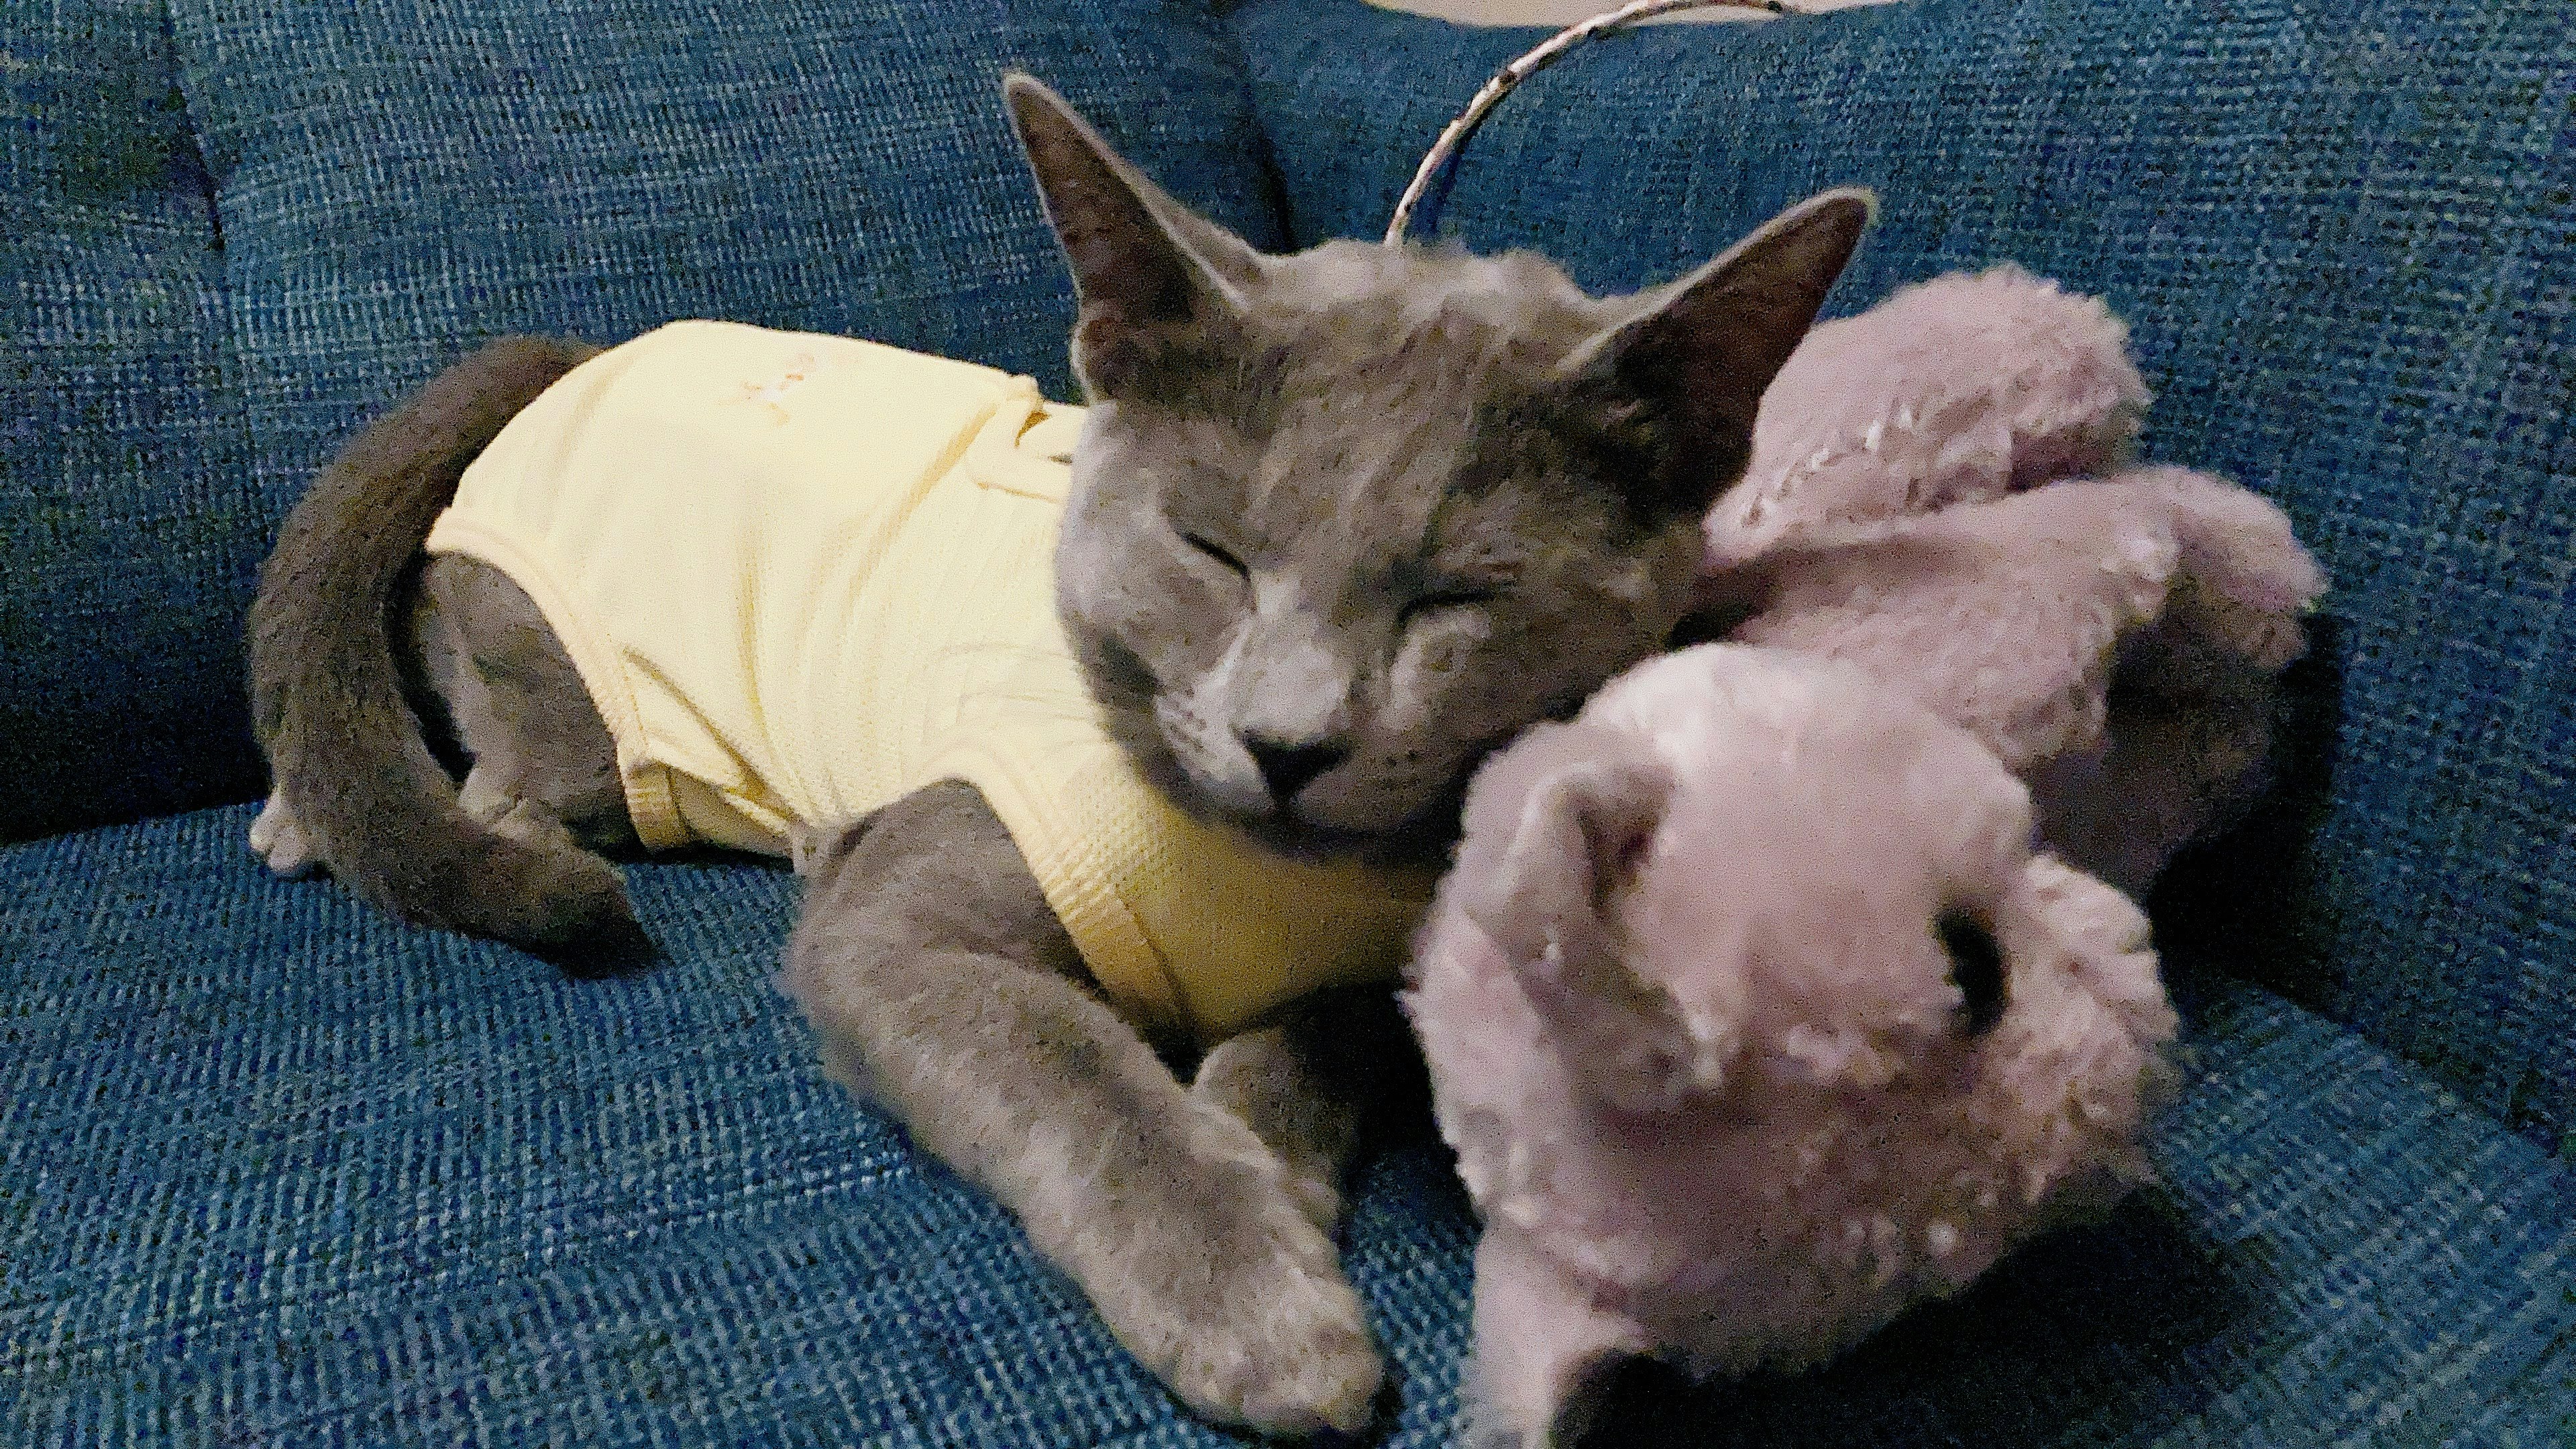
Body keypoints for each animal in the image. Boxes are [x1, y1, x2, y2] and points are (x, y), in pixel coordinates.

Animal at [246, 78, 1875, 1433]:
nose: (1290, 740)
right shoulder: (902, 916)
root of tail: (579, 351)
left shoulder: (1371, 953)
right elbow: (1074, 1068)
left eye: (1457, 598)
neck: (1262, 871)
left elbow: (1318, 1029)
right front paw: (1260, 1308)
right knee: (478, 729)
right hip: (573, 703)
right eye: (1213, 550)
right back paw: (336, 823)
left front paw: (1264, 1156)